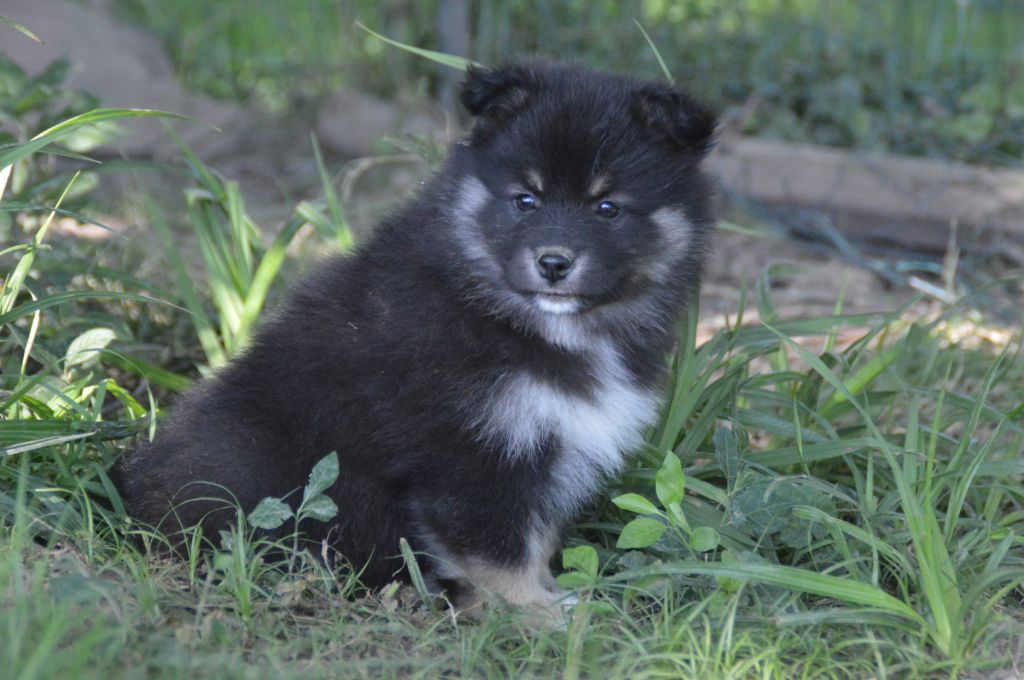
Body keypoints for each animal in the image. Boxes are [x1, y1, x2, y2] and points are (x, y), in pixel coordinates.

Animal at [114, 62, 720, 614]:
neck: (516, 319)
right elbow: (499, 553)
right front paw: (538, 617)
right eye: (525, 200)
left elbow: (536, 536)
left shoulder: (544, 447)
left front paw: (552, 599)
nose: (553, 263)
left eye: (608, 207)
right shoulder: (467, 453)